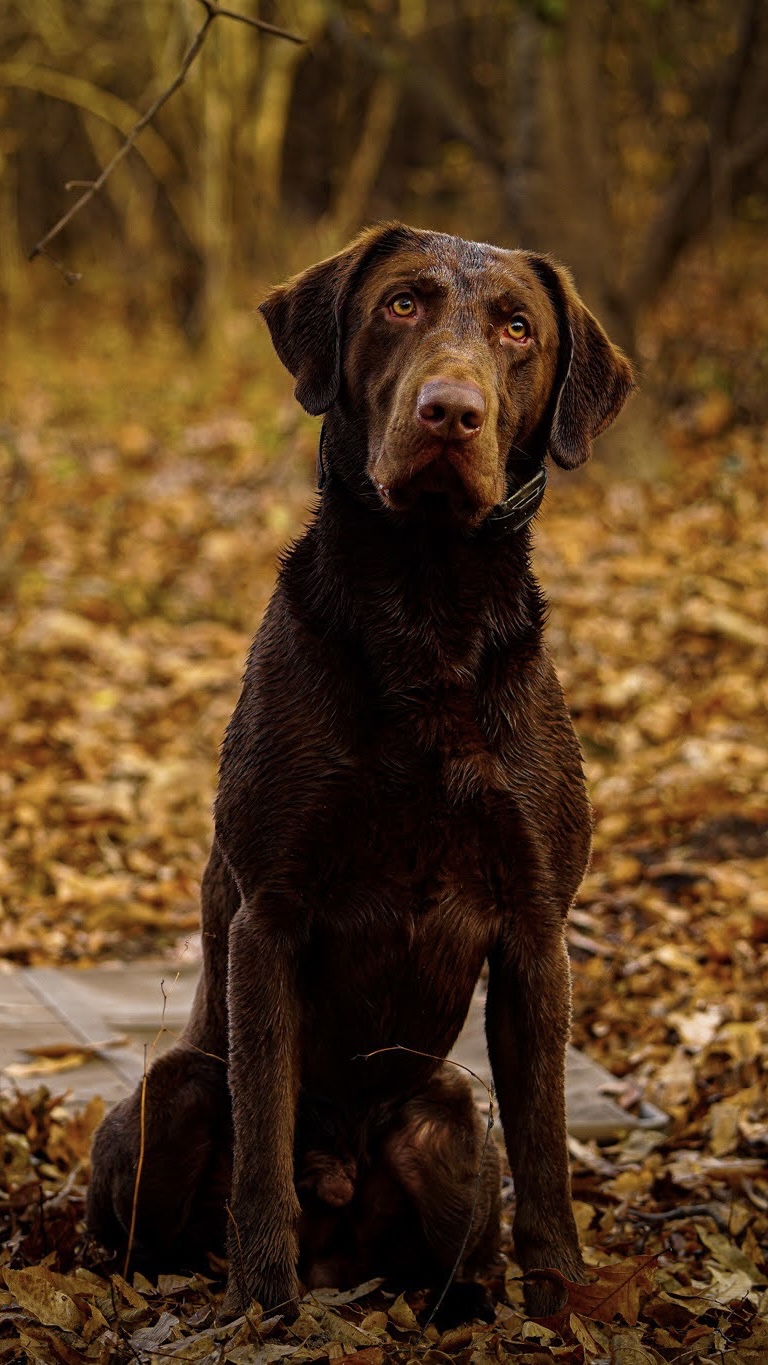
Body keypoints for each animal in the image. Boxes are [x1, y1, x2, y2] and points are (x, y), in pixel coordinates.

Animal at [87, 223, 632, 1321]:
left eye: (517, 327)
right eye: (401, 305)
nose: (450, 411)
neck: (425, 606)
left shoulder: (536, 924)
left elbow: (547, 1142)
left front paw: (561, 1294)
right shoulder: (271, 909)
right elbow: (262, 1142)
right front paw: (264, 1305)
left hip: (450, 1113)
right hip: (175, 1087)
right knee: (162, 1205)